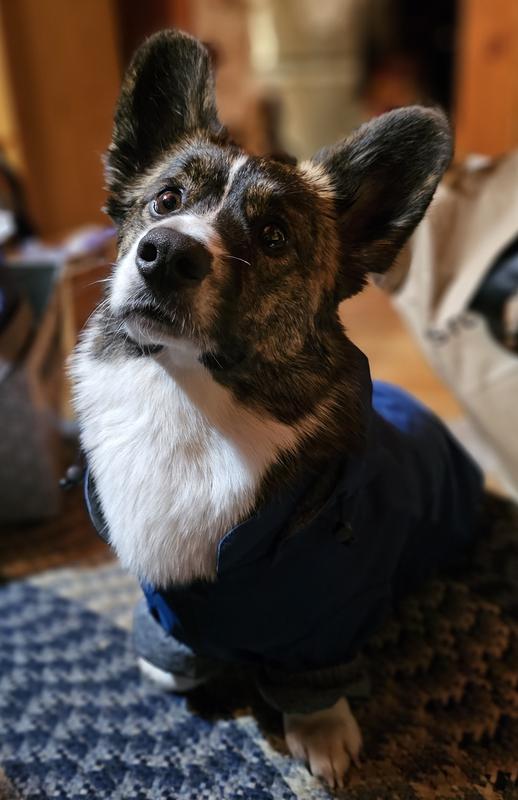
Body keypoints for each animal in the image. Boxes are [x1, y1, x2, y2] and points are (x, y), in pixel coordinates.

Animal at [71, 30, 484, 789]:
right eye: (164, 200)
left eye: (272, 238)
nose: (164, 254)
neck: (191, 398)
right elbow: (173, 662)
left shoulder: (320, 618)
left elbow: (310, 679)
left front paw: (320, 732)